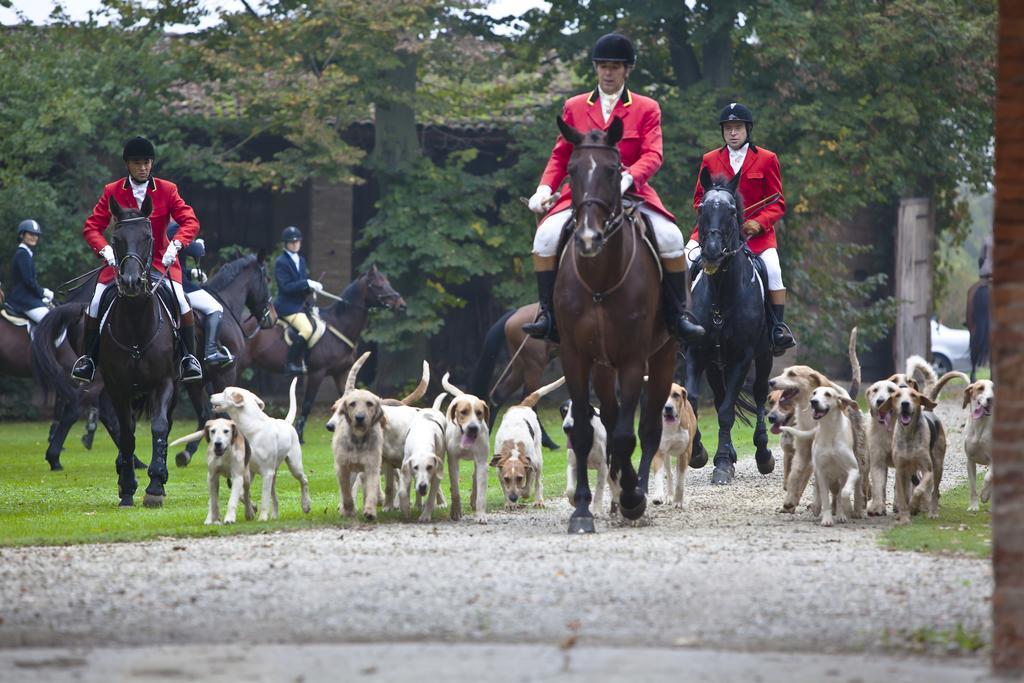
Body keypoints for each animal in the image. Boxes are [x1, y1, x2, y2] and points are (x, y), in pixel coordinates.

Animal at [241, 264, 405, 440]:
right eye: (378, 285)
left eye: (388, 282)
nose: (401, 304)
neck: (340, 325)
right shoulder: (317, 373)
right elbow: (307, 404)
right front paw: (299, 436)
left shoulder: (342, 372)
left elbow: (346, 397)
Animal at [468, 303, 561, 450]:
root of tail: (515, 313)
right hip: (534, 365)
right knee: (530, 399)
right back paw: (547, 442)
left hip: (520, 366)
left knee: (500, 395)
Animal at [552, 116, 679, 532]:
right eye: (572, 170)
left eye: (612, 170)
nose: (589, 238)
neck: (599, 281)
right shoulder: (575, 357)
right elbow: (585, 431)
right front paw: (581, 509)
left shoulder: (634, 359)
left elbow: (626, 435)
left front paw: (632, 499)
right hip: (603, 368)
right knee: (607, 415)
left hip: (663, 357)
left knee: (649, 427)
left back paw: (635, 491)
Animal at [684, 167, 770, 483]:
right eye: (701, 208)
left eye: (732, 211)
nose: (711, 253)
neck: (721, 294)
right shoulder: (697, 353)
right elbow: (694, 401)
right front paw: (699, 454)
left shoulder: (743, 357)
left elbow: (725, 412)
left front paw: (721, 464)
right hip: (715, 363)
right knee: (722, 395)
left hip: (763, 355)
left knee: (759, 394)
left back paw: (763, 454)